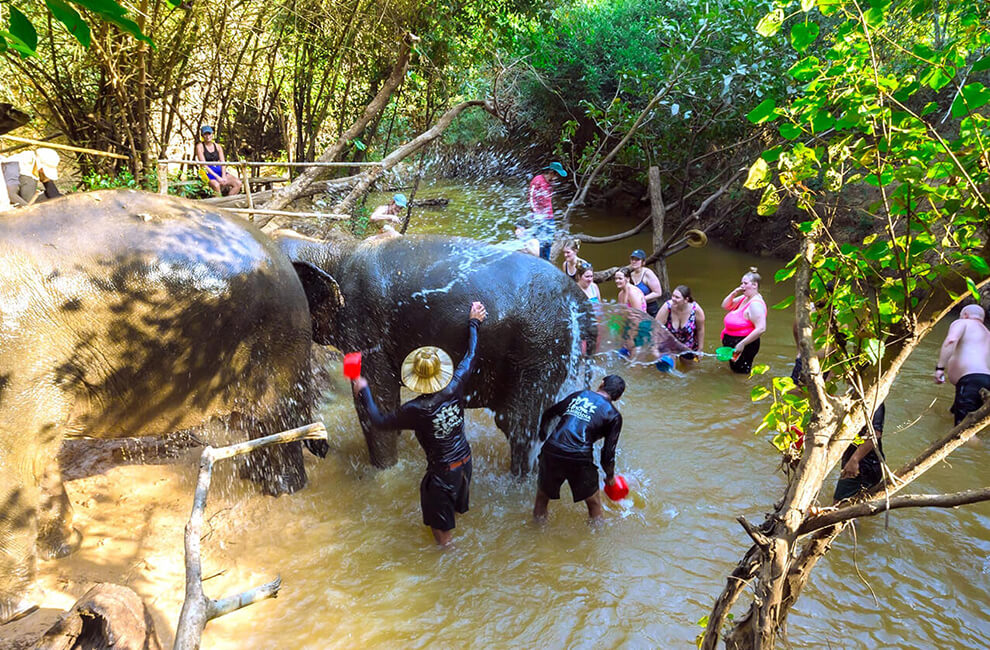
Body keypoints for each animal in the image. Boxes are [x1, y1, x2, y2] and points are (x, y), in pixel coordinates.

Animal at [0, 189, 320, 624]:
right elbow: (37, 461)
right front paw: (63, 549)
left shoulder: (19, 371)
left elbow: (12, 469)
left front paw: (13, 611)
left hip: (279, 338)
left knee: (276, 420)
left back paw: (281, 491)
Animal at [272, 230, 596, 474]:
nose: (321, 446)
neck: (329, 250)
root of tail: (581, 303)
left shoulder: (366, 327)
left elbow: (375, 403)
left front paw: (383, 475)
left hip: (541, 348)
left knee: (519, 426)